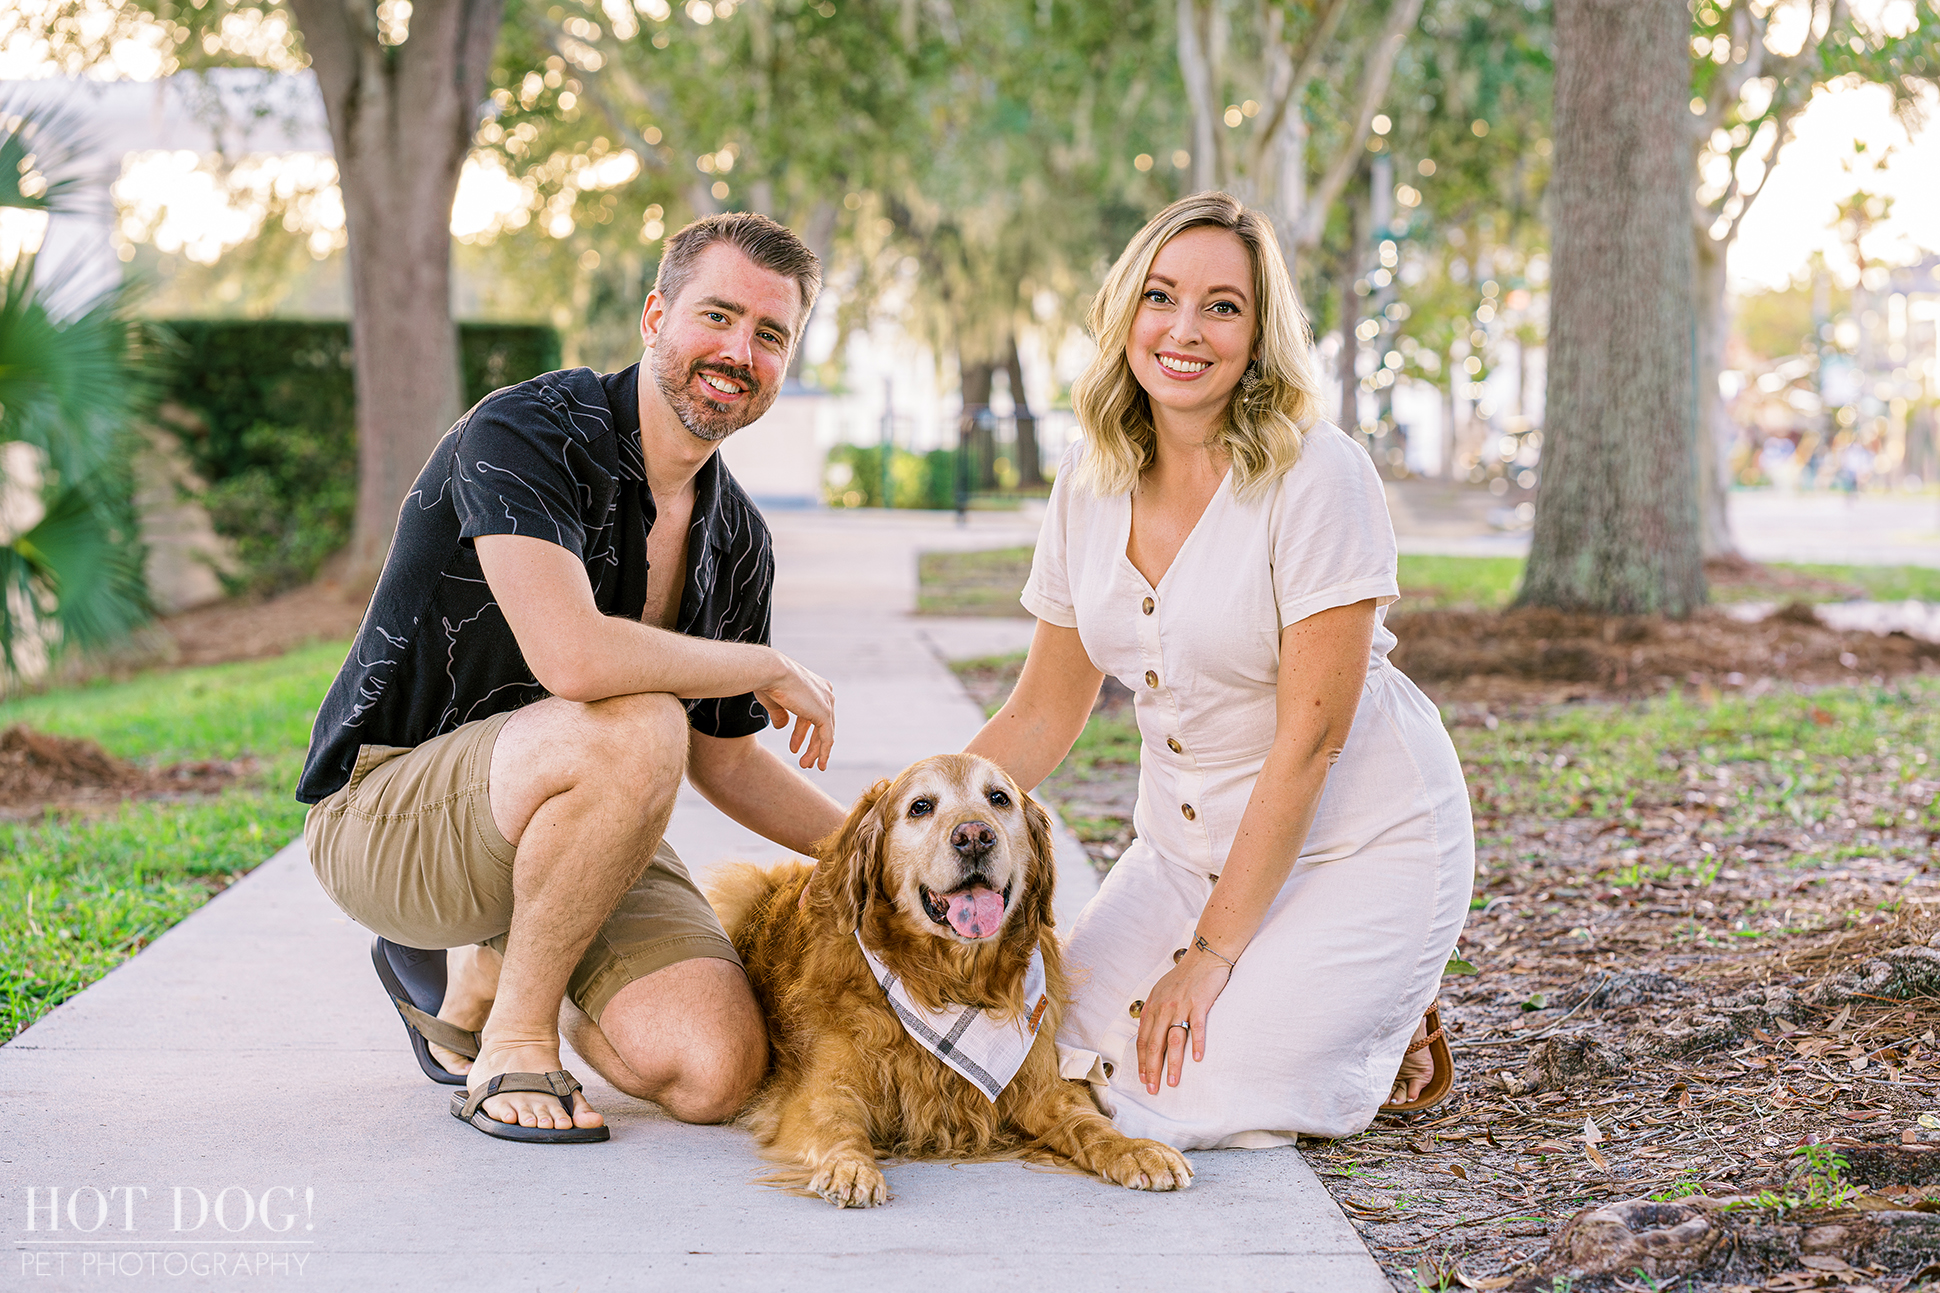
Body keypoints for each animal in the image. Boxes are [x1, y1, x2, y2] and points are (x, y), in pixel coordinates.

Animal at [710, 749, 1195, 1203]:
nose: (974, 836)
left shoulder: (1040, 1086)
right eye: (920, 806)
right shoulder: (824, 1090)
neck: (949, 980)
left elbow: (1089, 1122)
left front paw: (1136, 1149)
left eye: (999, 798)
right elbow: (838, 1129)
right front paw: (850, 1167)